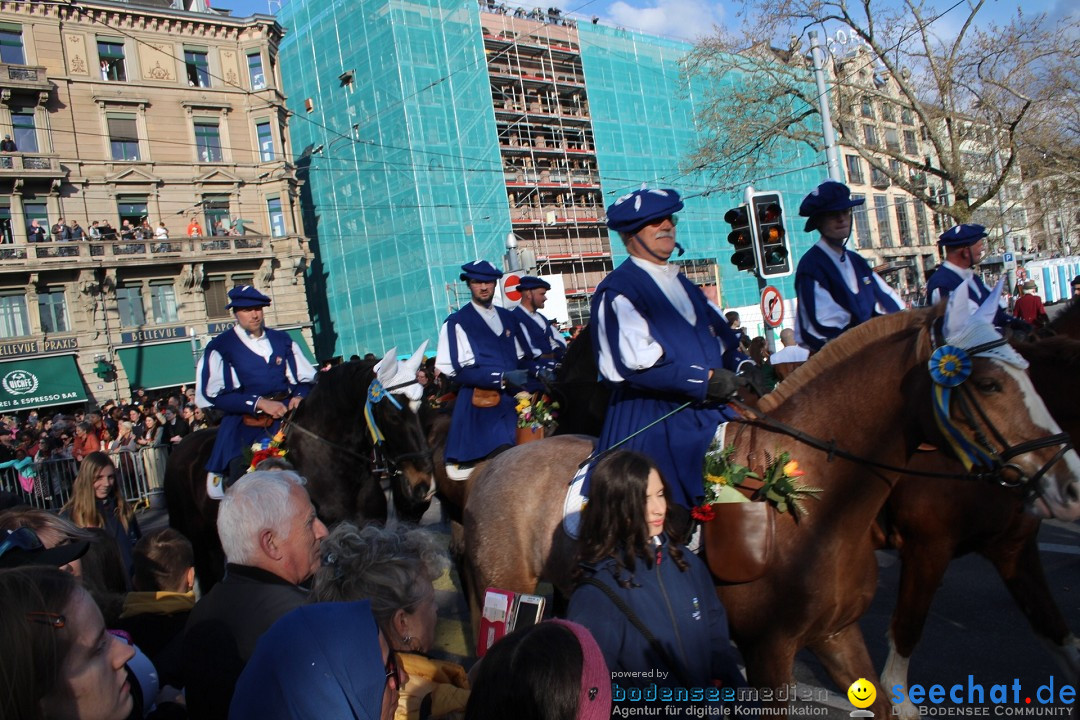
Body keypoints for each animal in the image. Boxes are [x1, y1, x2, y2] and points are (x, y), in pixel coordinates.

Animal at [464, 297, 1080, 716]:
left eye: (1029, 370)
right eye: (989, 383)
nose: (1068, 484)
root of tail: (491, 467)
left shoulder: (837, 634)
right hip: (505, 594)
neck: (813, 504)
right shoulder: (772, 652)